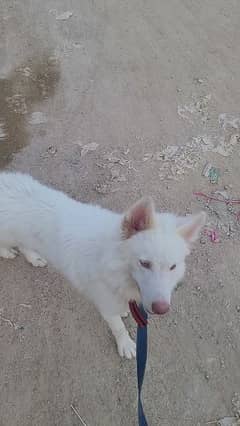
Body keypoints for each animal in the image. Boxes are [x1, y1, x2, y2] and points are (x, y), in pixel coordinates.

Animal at [0, 173, 205, 360]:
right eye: (144, 263)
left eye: (173, 267)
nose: (162, 309)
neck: (111, 261)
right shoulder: (106, 305)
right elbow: (119, 328)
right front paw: (125, 344)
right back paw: (7, 252)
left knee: (24, 245)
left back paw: (34, 258)